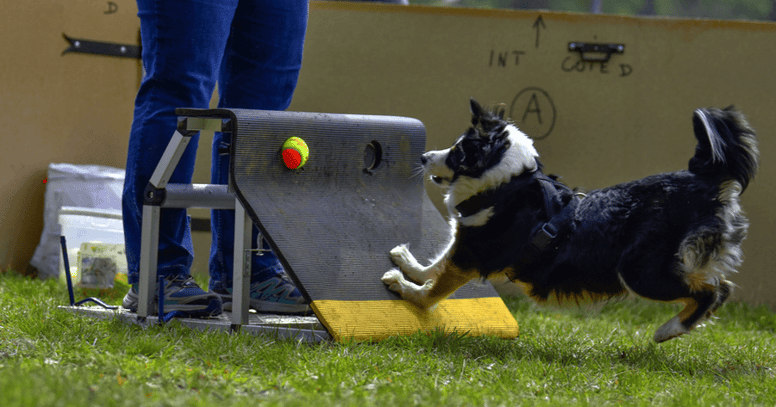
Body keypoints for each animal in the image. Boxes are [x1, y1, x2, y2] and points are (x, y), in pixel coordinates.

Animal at [382, 99, 756, 344]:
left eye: (458, 152)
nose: (423, 156)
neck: (506, 185)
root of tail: (703, 180)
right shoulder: (466, 241)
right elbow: (437, 263)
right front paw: (409, 265)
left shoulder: (473, 255)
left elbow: (434, 291)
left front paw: (405, 288)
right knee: (717, 287)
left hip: (641, 271)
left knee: (714, 290)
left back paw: (669, 330)